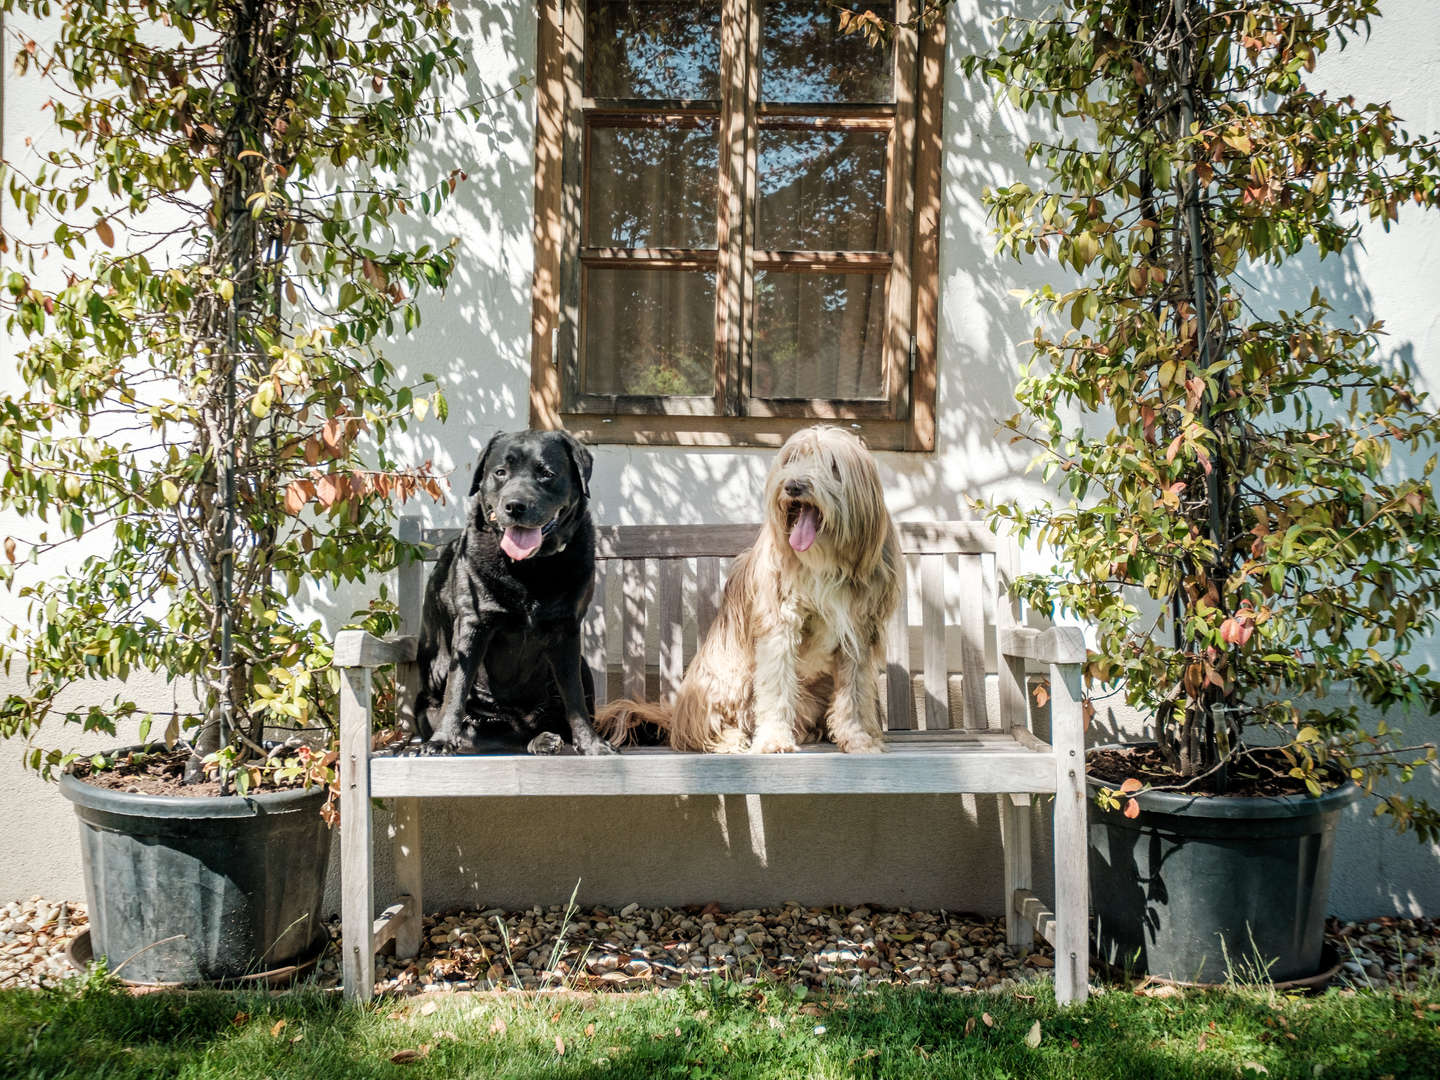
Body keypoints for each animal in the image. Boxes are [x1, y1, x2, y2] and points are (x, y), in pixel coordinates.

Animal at [411, 426, 613, 754]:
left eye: (547, 473)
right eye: (500, 472)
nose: (515, 505)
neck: (529, 569)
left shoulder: (566, 629)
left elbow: (574, 697)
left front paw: (591, 743)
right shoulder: (473, 624)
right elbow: (457, 687)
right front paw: (441, 740)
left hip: (582, 665)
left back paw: (546, 738)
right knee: (487, 733)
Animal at [599, 423, 898, 754]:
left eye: (830, 463)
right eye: (791, 459)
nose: (792, 487)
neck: (826, 561)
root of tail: (676, 714)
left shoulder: (857, 631)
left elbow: (854, 695)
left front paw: (858, 738)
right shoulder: (779, 624)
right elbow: (777, 686)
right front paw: (774, 740)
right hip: (727, 677)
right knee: (701, 729)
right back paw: (729, 738)